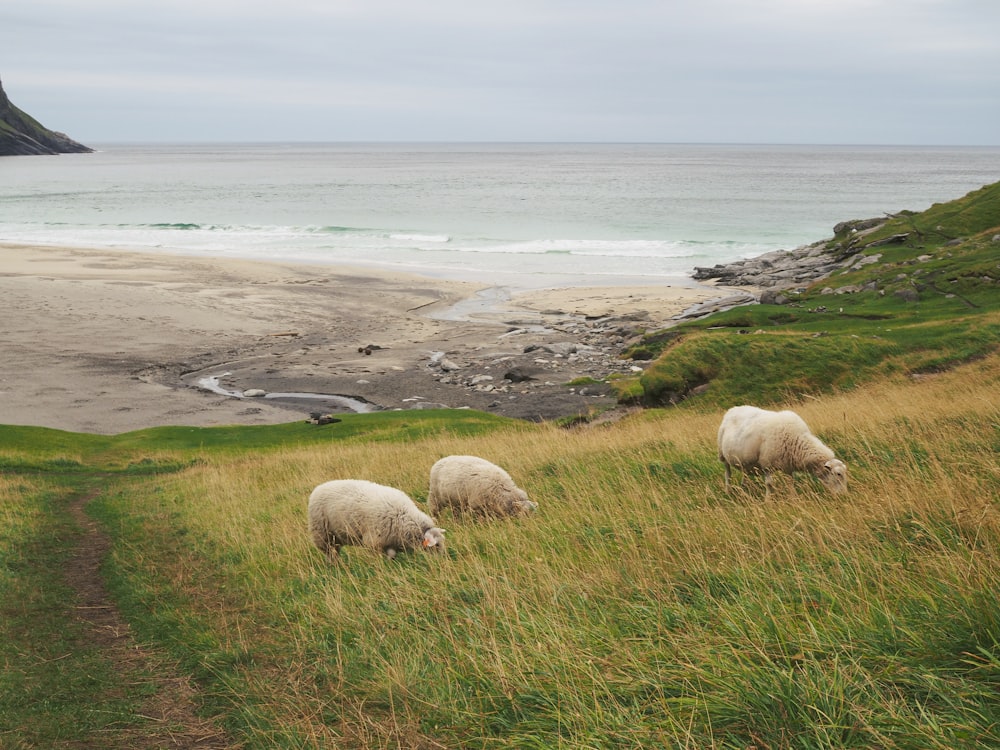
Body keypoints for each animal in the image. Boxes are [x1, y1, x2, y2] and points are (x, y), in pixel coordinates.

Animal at [306, 478, 444, 560]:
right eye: (436, 545)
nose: (441, 561)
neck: (403, 517)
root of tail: (319, 487)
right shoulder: (374, 541)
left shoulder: (389, 541)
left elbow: (391, 554)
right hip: (322, 534)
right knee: (329, 552)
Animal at [716, 406, 848, 500]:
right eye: (838, 474)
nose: (843, 495)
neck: (796, 440)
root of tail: (732, 409)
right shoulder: (766, 464)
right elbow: (769, 484)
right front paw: (768, 501)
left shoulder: (788, 466)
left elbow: (790, 483)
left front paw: (794, 498)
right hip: (722, 455)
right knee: (727, 474)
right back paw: (728, 490)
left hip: (743, 460)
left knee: (744, 473)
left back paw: (746, 488)